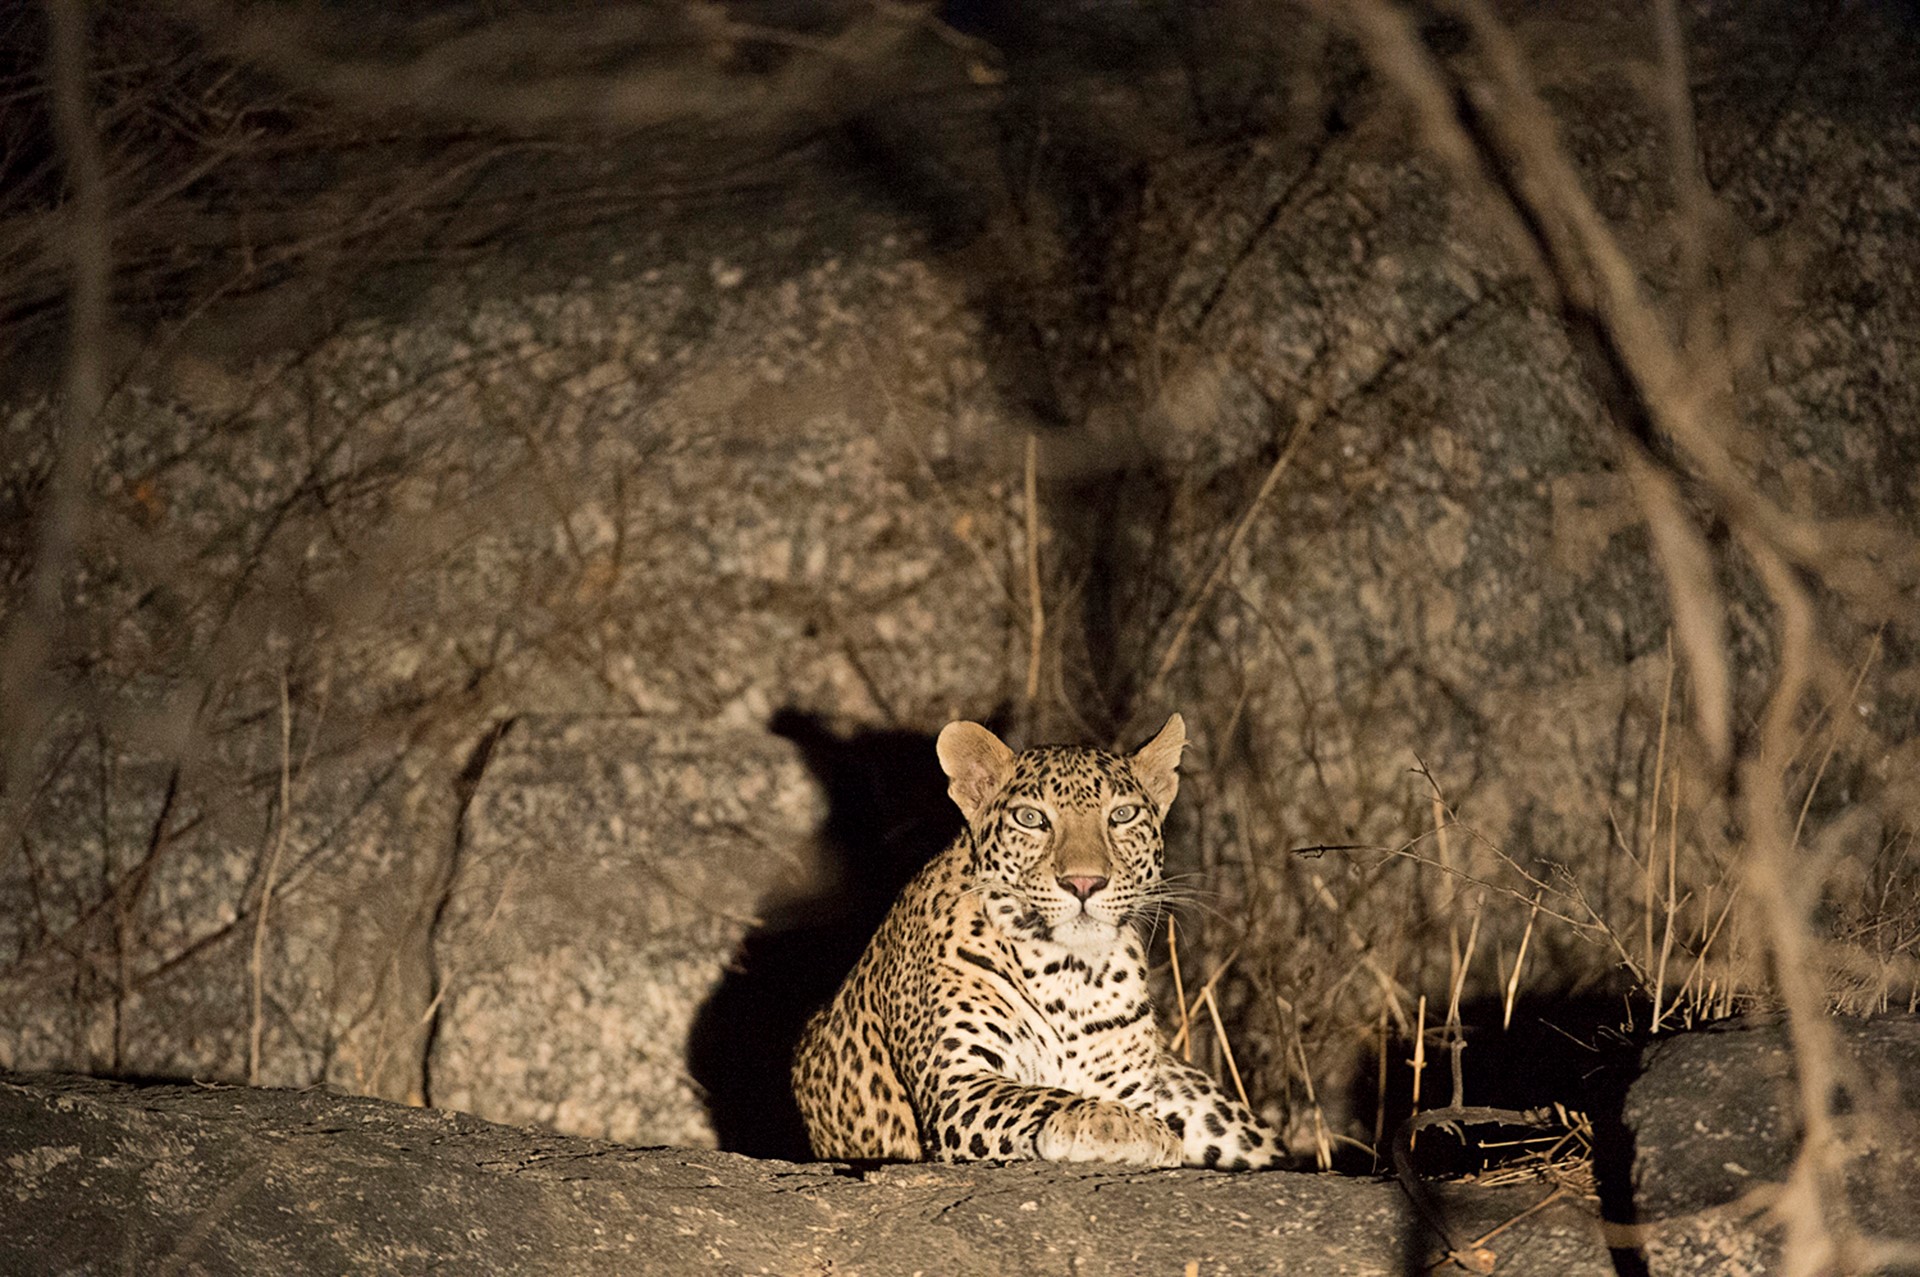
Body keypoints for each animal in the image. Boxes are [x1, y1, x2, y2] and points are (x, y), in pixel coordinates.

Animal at [790, 714, 1285, 1169]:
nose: (1084, 883)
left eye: (1122, 816)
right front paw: (1109, 1121)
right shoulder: (956, 1084)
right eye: (1031, 819)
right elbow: (1036, 1095)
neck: (1072, 973)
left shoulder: (1131, 1084)